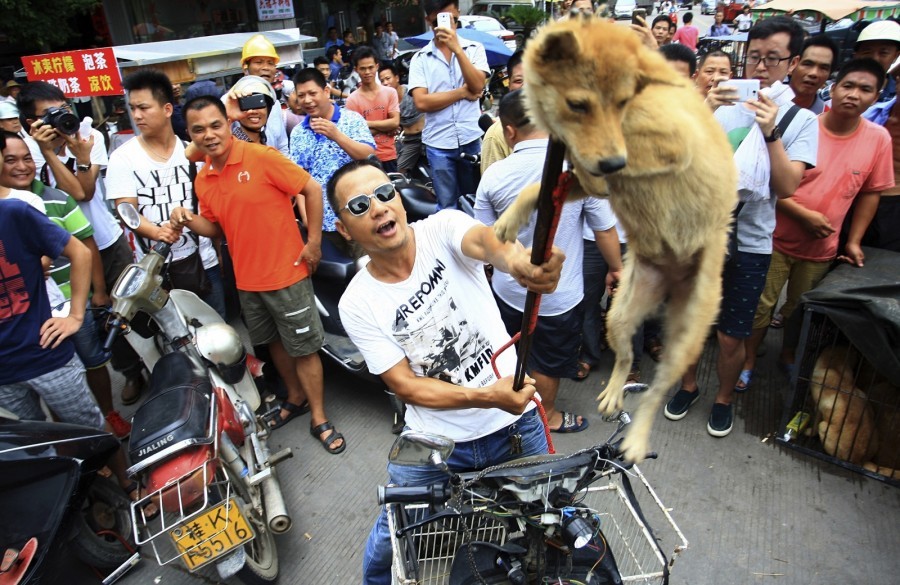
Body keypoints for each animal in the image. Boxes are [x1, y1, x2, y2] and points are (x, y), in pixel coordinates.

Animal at [492, 17, 740, 460]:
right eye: (579, 104)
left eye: (623, 102)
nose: (610, 163)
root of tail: (672, 282)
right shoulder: (581, 169)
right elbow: (538, 187)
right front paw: (509, 220)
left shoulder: (668, 145)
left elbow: (613, 163)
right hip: (619, 315)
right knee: (625, 358)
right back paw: (612, 393)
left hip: (687, 336)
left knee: (656, 392)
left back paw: (637, 438)